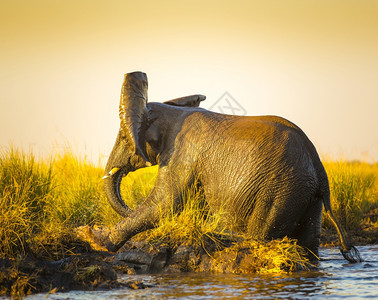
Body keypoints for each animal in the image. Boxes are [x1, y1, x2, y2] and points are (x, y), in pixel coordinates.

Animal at [99, 71, 360, 264]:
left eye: (124, 138)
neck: (173, 111)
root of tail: (318, 165)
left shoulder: (182, 153)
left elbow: (165, 204)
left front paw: (99, 242)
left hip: (280, 189)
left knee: (261, 234)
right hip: (307, 194)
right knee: (309, 241)